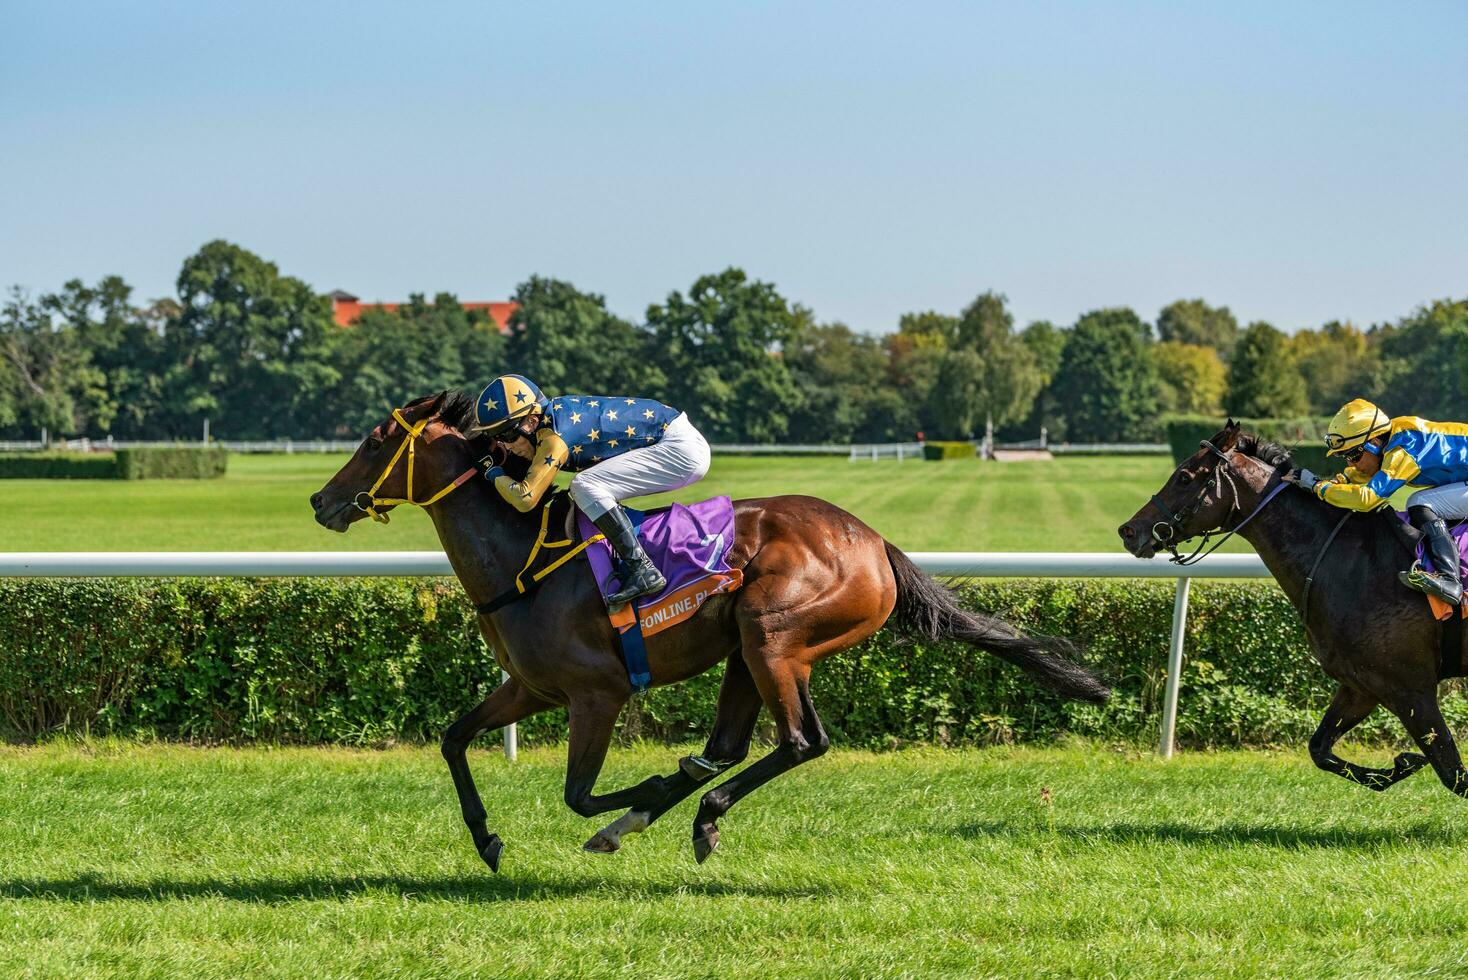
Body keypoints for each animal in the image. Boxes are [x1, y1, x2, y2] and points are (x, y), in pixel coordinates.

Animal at [315, 390, 1103, 862]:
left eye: (376, 440)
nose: (323, 501)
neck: (520, 563)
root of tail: (874, 541)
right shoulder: (532, 688)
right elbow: (453, 739)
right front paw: (488, 841)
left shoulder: (598, 693)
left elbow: (579, 794)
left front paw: (643, 794)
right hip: (751, 653)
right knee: (735, 745)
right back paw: (689, 803)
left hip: (771, 634)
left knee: (800, 741)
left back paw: (691, 810)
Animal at [1115, 422, 1462, 798]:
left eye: (1184, 476)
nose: (1129, 531)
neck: (1353, 561)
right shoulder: (1362, 684)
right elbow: (1319, 748)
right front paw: (1399, 766)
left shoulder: (1411, 688)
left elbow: (1455, 776)